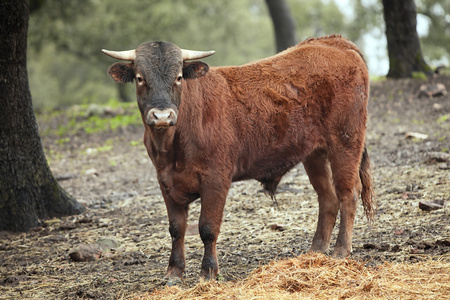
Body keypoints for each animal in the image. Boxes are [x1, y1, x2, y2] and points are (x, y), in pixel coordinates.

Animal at [103, 35, 374, 284]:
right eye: (140, 78)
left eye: (178, 77)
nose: (161, 116)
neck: (172, 146)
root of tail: (332, 42)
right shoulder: (165, 181)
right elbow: (176, 228)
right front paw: (174, 273)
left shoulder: (216, 178)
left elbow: (208, 227)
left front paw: (208, 272)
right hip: (314, 153)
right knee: (327, 197)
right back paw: (315, 251)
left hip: (345, 141)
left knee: (348, 193)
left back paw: (340, 250)